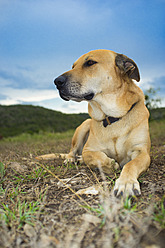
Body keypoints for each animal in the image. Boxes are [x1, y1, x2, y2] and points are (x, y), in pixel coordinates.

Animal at [36, 50, 151, 198]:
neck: (112, 117)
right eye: (73, 66)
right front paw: (110, 164)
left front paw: (126, 183)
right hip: (83, 127)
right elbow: (97, 157)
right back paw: (72, 159)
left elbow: (131, 164)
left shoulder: (142, 152)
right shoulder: (88, 150)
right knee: (72, 151)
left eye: (90, 62)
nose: (57, 82)